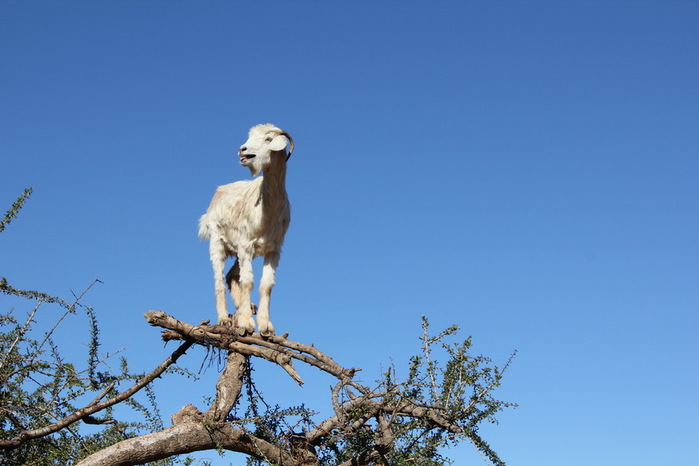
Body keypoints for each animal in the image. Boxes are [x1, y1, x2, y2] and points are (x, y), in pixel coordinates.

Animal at [198, 124, 294, 334]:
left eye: (268, 139)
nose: (243, 150)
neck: (268, 212)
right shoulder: (246, 246)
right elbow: (248, 282)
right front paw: (247, 323)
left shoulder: (273, 250)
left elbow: (266, 285)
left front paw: (266, 327)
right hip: (217, 243)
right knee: (219, 281)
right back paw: (224, 319)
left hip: (237, 251)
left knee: (232, 275)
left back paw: (245, 307)